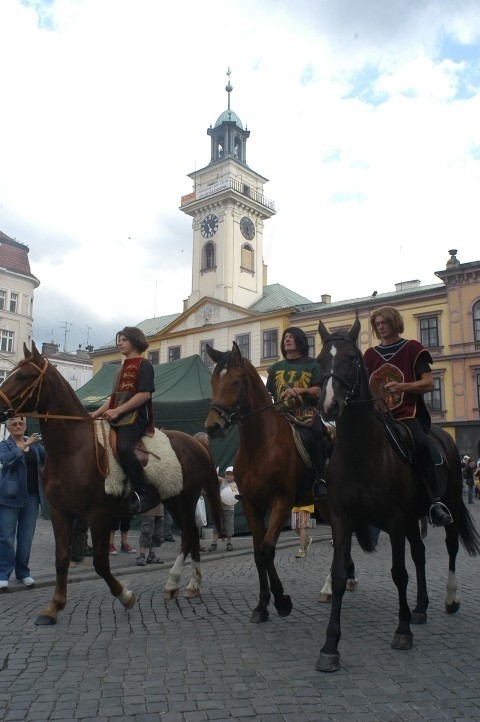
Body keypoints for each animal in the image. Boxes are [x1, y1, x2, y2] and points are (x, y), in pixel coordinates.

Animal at [0, 340, 223, 620]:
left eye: (23, 376)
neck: (74, 448)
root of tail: (197, 443)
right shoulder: (61, 512)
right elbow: (61, 558)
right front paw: (54, 606)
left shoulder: (99, 515)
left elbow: (100, 563)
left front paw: (125, 595)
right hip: (172, 500)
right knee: (188, 536)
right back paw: (179, 586)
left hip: (185, 499)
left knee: (191, 536)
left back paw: (185, 584)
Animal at [203, 340, 356, 620]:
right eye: (213, 381)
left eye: (236, 382)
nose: (213, 426)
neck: (260, 445)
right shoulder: (251, 505)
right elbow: (257, 553)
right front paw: (262, 604)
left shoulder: (281, 503)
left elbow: (266, 549)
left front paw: (282, 600)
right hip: (326, 506)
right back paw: (339, 581)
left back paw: (334, 584)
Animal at [316, 318, 480, 672]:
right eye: (320, 360)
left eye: (352, 359)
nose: (329, 406)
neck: (361, 453)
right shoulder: (342, 520)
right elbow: (339, 576)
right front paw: (330, 646)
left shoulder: (392, 522)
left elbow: (398, 573)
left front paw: (402, 631)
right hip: (412, 518)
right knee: (420, 553)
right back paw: (420, 607)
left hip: (447, 506)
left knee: (449, 548)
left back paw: (449, 598)